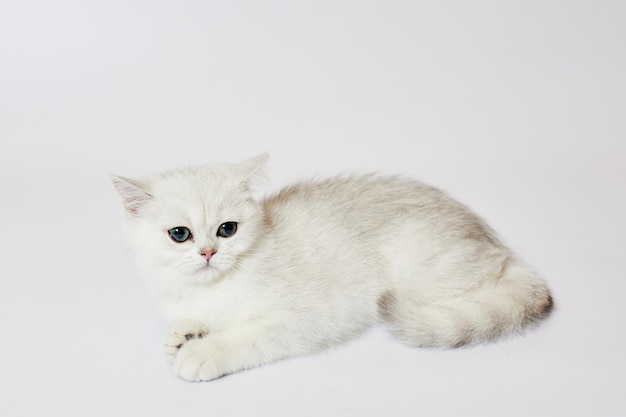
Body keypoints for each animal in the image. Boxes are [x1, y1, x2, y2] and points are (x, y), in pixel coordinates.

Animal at [113, 153, 552, 380]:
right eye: (180, 234)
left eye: (227, 229)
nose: (208, 252)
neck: (209, 289)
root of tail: (487, 236)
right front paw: (182, 334)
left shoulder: (302, 320)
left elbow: (249, 336)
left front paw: (203, 351)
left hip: (429, 272)